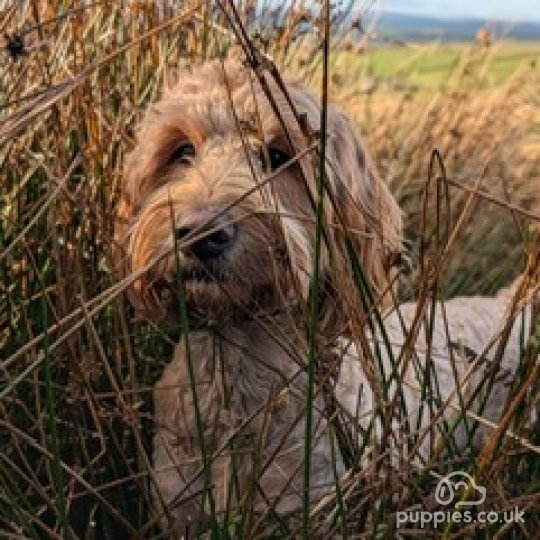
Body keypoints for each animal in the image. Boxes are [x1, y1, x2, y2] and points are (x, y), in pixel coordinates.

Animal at [115, 60, 536, 536]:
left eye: (279, 156)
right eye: (181, 151)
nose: (200, 233)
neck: (241, 366)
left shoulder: (314, 505)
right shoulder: (178, 509)